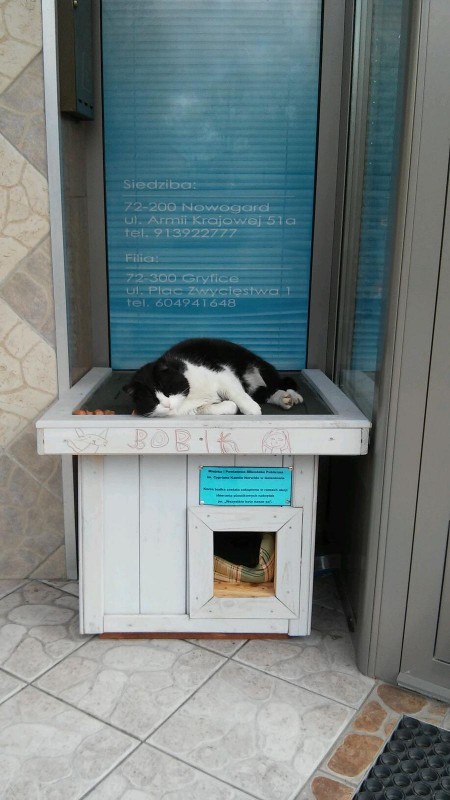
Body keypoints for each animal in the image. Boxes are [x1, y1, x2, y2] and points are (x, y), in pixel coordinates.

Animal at [124, 338, 303, 417]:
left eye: (168, 390)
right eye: (153, 400)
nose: (167, 405)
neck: (191, 394)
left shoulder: (222, 374)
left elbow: (236, 393)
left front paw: (252, 409)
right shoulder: (193, 410)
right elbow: (227, 406)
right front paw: (231, 406)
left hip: (256, 363)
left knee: (276, 383)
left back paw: (292, 396)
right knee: (262, 392)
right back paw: (284, 399)